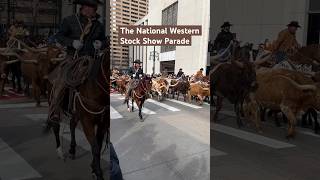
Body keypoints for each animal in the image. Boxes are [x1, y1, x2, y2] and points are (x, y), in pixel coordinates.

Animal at [47, 51, 110, 180]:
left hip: (76, 113)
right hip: (55, 103)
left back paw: (72, 150)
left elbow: (98, 144)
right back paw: (60, 152)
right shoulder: (87, 122)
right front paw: (98, 173)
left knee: (71, 125)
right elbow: (95, 148)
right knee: (55, 125)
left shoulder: (103, 123)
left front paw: (94, 167)